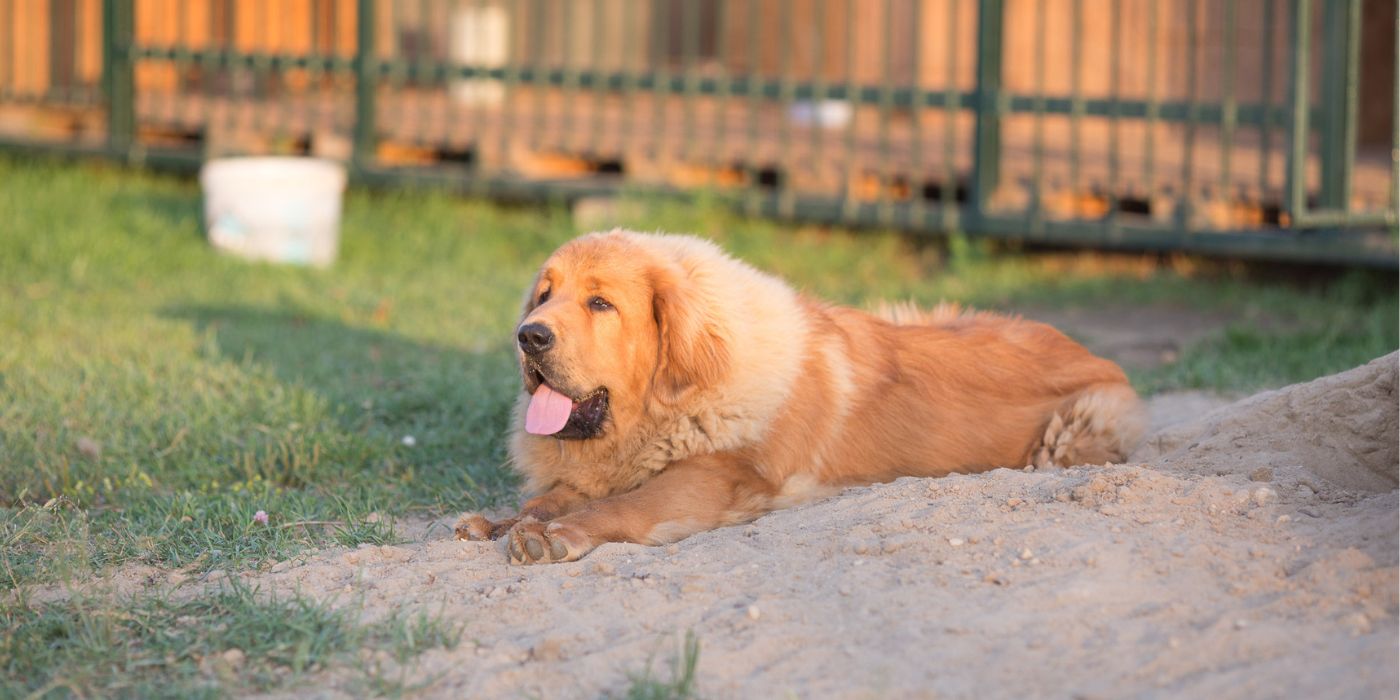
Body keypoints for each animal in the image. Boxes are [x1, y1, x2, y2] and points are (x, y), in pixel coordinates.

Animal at [459, 229, 1148, 562]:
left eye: (600, 303)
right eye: (545, 294)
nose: (529, 336)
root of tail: (1094, 352)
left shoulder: (714, 477)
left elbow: (624, 505)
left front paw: (560, 533)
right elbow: (552, 496)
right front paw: (508, 520)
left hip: (1066, 434)